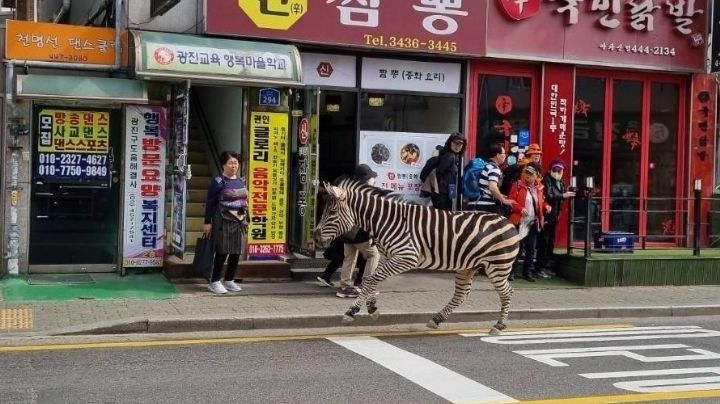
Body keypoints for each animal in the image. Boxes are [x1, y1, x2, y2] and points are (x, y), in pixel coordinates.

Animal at [313, 178, 524, 335]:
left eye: (332, 212)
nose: (315, 238)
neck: (387, 222)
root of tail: (507, 222)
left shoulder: (407, 257)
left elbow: (372, 279)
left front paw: (352, 311)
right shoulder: (388, 257)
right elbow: (372, 279)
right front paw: (371, 308)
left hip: (498, 266)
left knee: (507, 292)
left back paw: (499, 325)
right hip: (467, 266)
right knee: (462, 294)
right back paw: (436, 319)